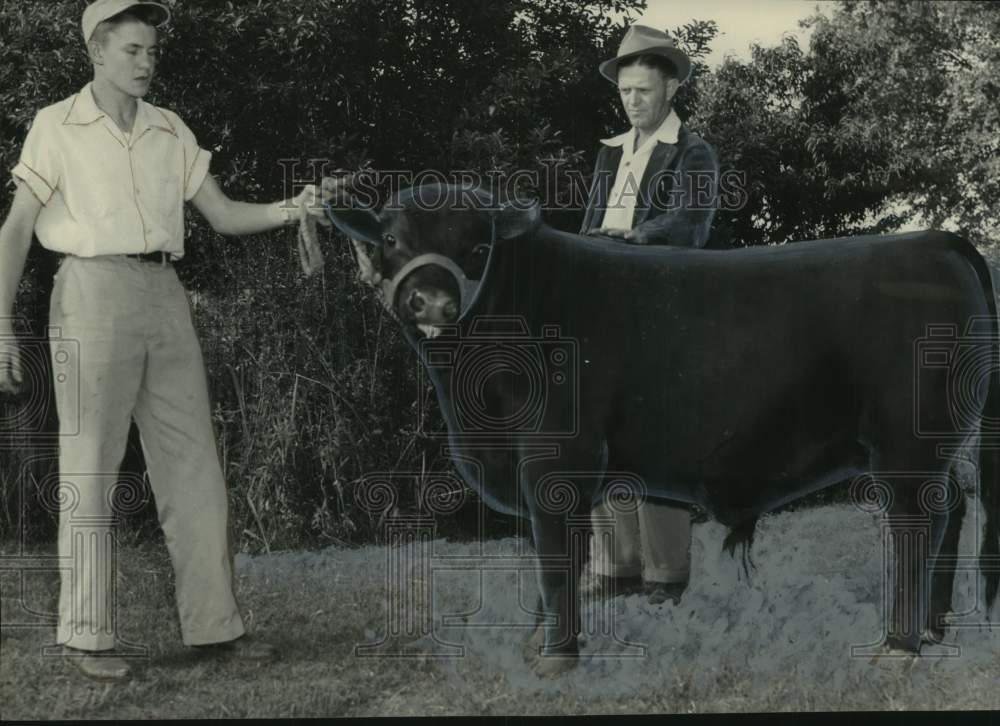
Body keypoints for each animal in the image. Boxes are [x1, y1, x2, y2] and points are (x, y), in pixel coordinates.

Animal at [324, 185, 996, 672]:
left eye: (478, 245)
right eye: (391, 238)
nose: (434, 303)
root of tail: (934, 240)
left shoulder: (554, 461)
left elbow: (554, 555)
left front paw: (556, 656)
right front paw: (538, 639)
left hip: (907, 444)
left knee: (918, 520)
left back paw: (899, 645)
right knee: (954, 508)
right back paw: (933, 628)